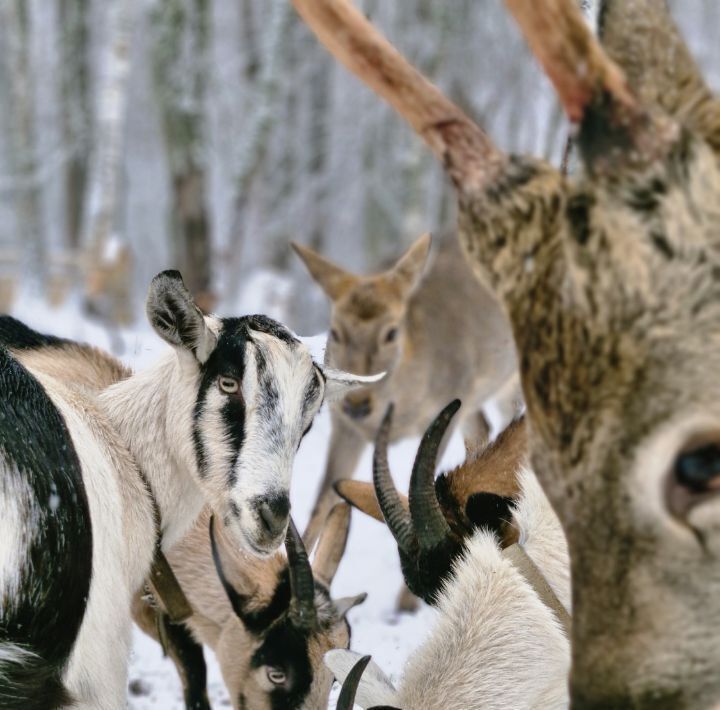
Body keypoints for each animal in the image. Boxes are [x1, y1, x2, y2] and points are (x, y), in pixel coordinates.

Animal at [292, 232, 524, 544]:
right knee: (483, 428)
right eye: (336, 332)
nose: (357, 403)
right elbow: (322, 500)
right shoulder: (345, 428)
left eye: (391, 332)